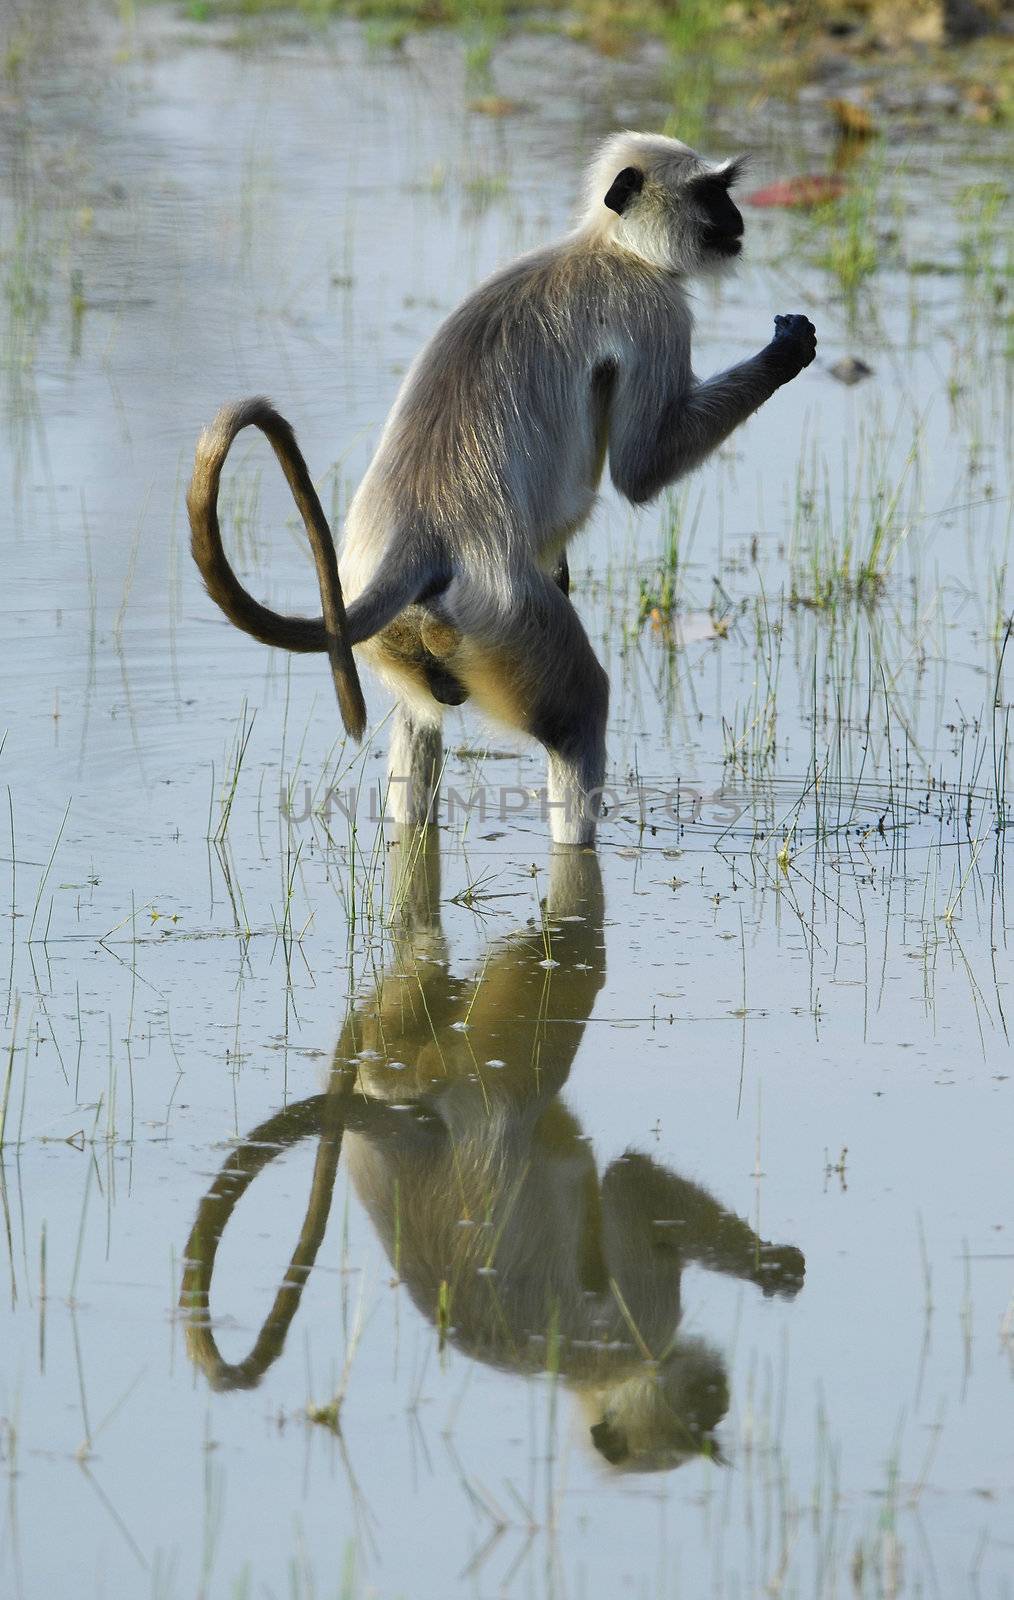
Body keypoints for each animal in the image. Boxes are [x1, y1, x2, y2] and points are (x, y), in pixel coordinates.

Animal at [187, 131, 812, 844]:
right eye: (712, 193)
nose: (737, 220)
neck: (607, 247)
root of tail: (420, 531)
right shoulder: (653, 308)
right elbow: (640, 471)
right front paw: (786, 353)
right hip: (506, 616)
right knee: (579, 715)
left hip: (402, 633)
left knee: (418, 728)